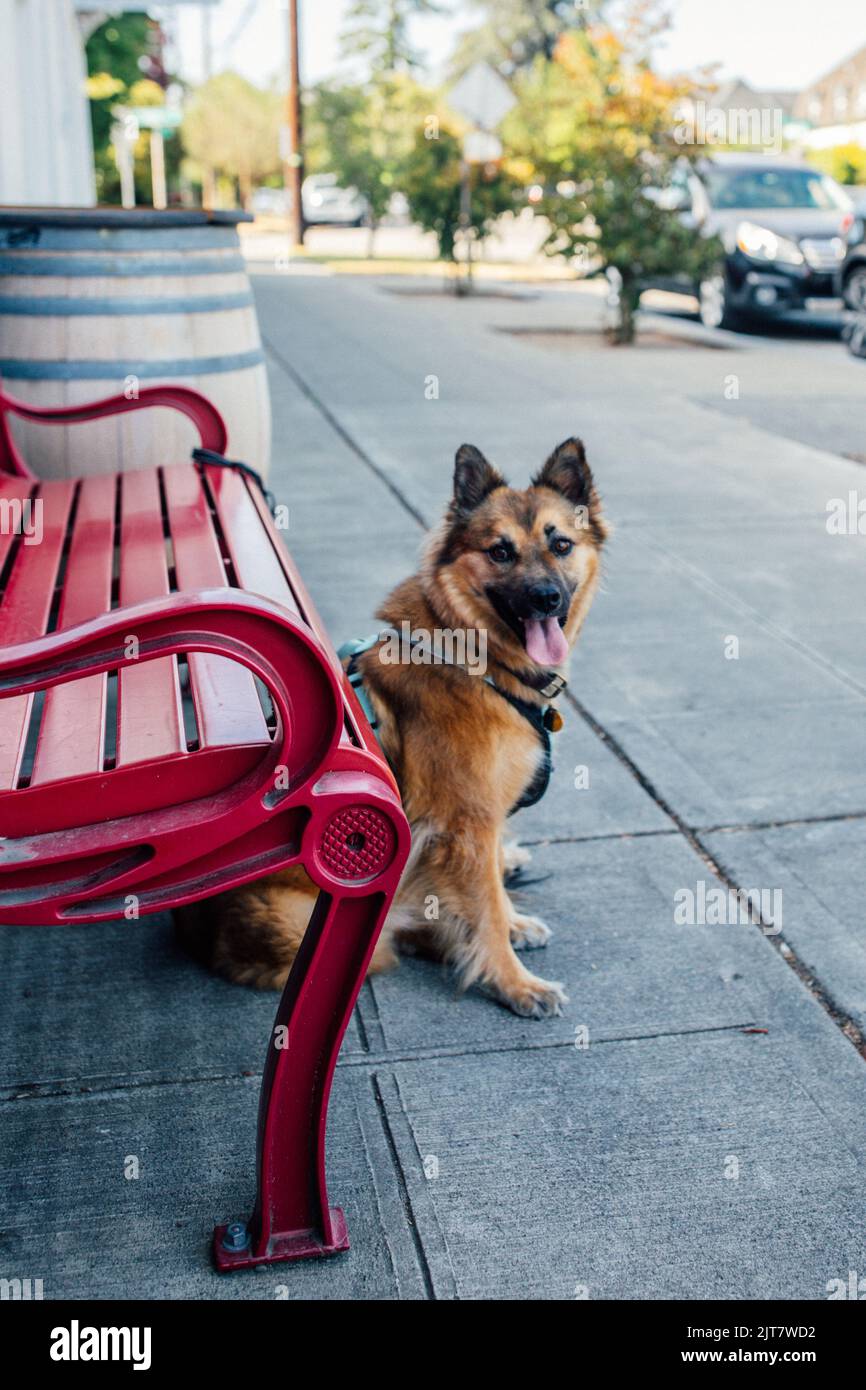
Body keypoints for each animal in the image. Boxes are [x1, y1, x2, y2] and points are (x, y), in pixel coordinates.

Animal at [176, 442, 606, 1023]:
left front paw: (510, 921)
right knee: (395, 937)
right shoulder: (466, 821)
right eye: (500, 552)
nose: (546, 598)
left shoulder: (477, 818)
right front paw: (515, 983)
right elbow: (485, 910)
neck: (473, 653)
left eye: (561, 545)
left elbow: (489, 889)